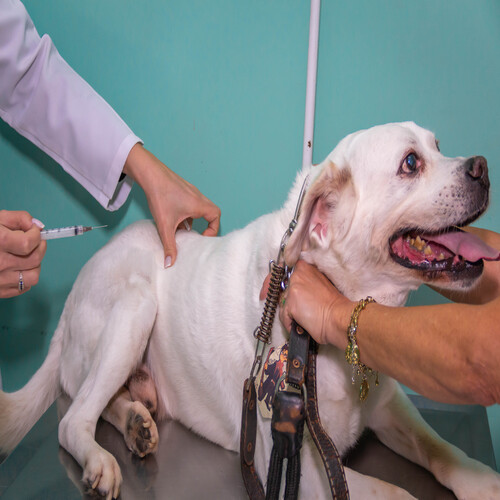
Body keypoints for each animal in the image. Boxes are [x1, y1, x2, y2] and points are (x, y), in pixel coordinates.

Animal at [0, 122, 500, 500]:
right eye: (411, 163)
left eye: (439, 146)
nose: (482, 167)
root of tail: (65, 310)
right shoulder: (306, 473)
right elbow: (398, 493)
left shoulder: (391, 406)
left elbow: (440, 448)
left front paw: (481, 481)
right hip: (137, 307)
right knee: (73, 418)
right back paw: (101, 459)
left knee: (96, 403)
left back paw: (136, 422)